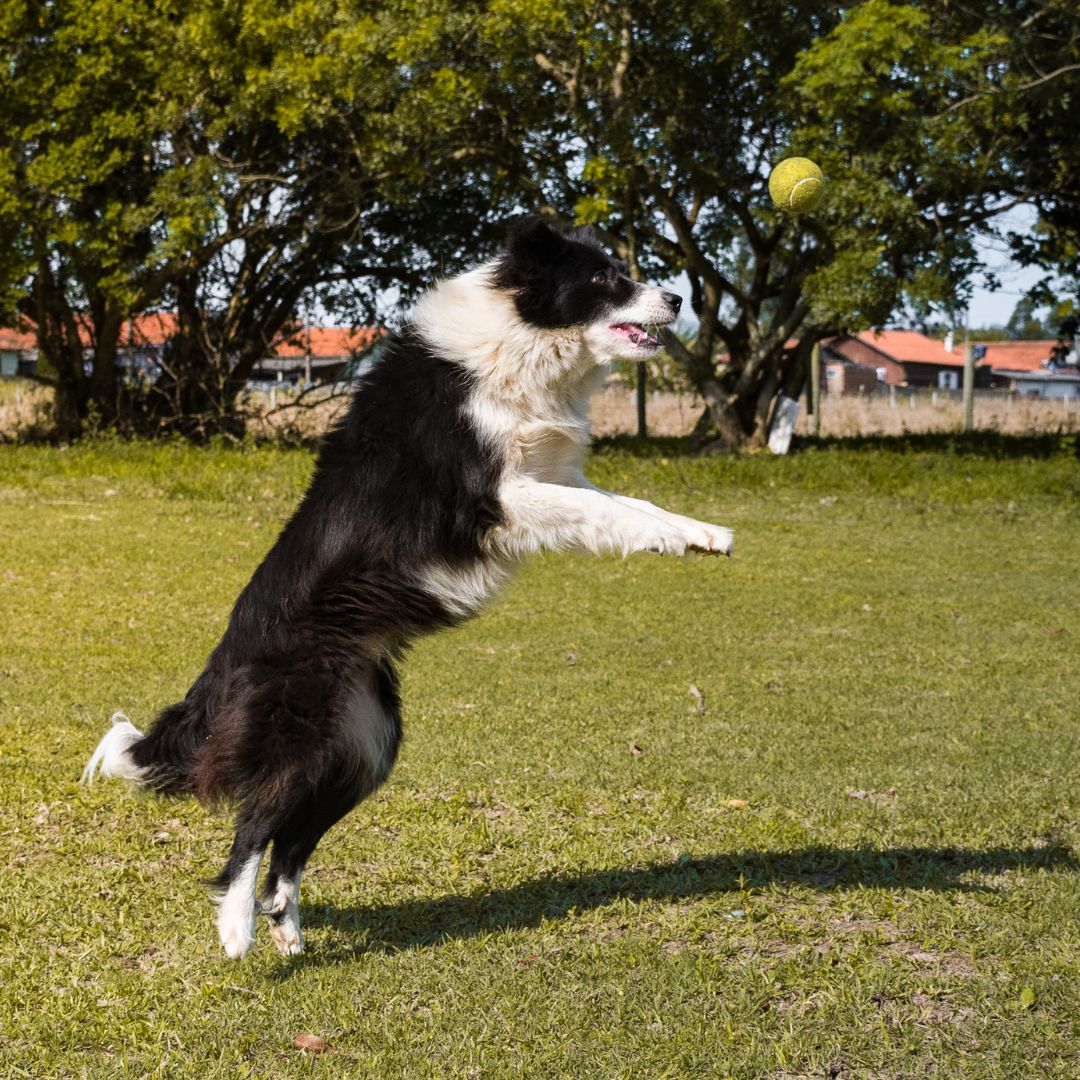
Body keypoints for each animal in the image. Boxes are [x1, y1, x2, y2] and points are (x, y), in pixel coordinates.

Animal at [79, 214, 730, 959]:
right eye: (603, 280)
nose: (677, 299)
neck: (519, 338)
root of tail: (220, 667)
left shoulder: (552, 477)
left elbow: (631, 504)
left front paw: (701, 534)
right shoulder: (498, 497)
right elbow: (606, 511)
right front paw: (678, 537)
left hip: (364, 747)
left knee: (291, 840)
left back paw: (287, 930)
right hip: (299, 732)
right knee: (252, 827)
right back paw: (237, 927)